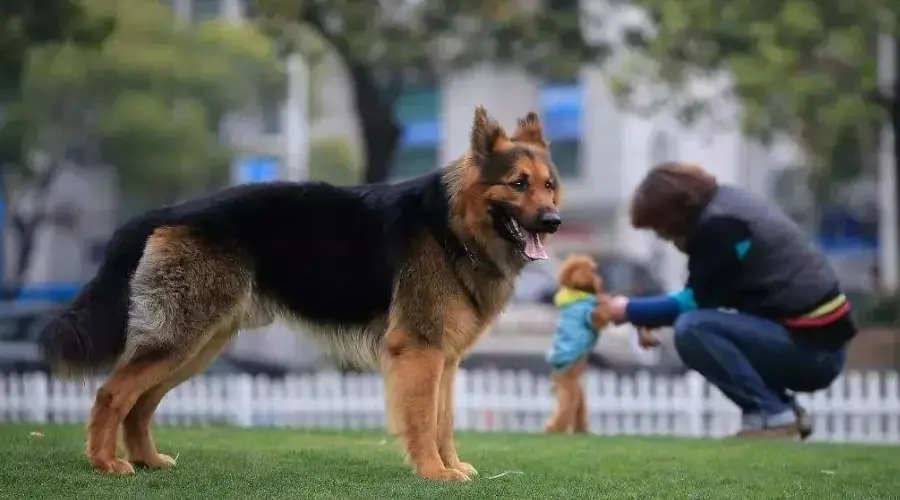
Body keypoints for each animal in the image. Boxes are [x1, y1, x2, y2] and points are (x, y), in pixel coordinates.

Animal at [42, 105, 568, 480]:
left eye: (549, 186)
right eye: (517, 184)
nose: (555, 222)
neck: (453, 227)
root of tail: (170, 210)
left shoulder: (446, 359)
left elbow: (444, 421)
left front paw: (451, 465)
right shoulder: (420, 352)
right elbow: (422, 421)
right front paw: (435, 473)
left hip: (197, 347)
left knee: (140, 403)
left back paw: (147, 461)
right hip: (181, 340)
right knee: (112, 393)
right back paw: (105, 464)